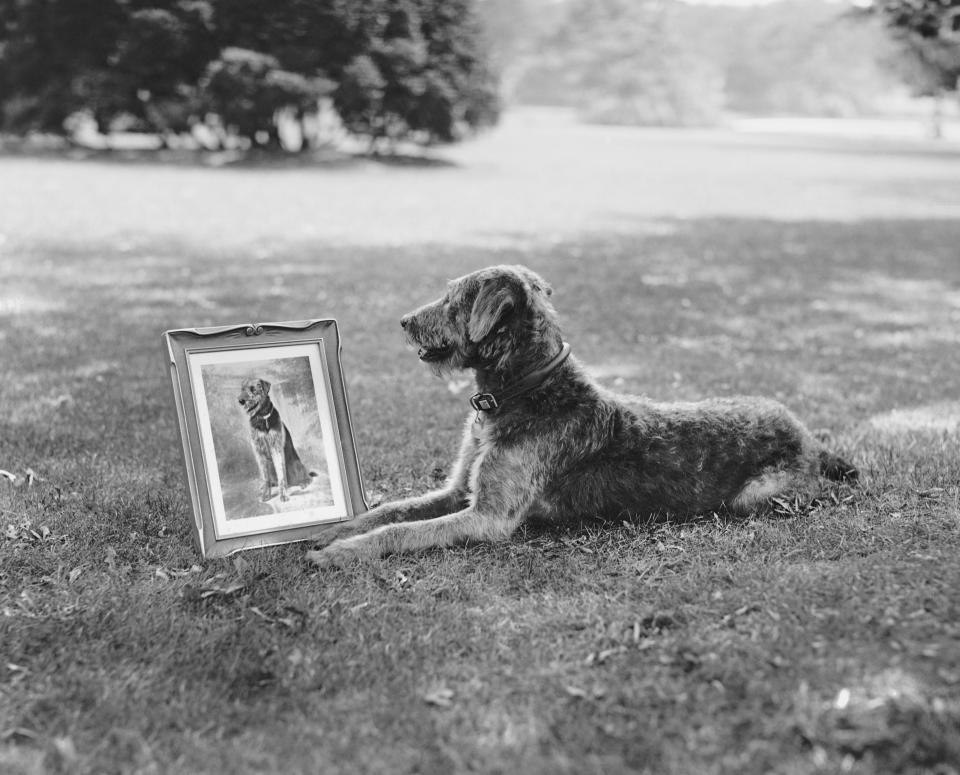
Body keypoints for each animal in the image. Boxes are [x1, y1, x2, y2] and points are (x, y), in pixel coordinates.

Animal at [306, 264, 856, 568]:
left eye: (453, 296)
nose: (403, 322)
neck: (525, 391)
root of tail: (810, 438)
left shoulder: (488, 517)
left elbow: (402, 532)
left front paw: (340, 553)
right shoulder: (458, 490)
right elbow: (389, 512)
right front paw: (335, 530)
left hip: (757, 496)